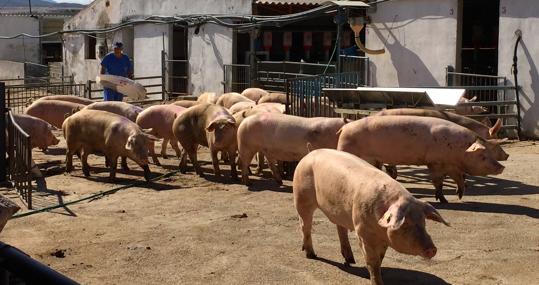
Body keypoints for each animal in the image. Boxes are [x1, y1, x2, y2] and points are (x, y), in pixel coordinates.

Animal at [338, 115, 506, 202]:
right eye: (482, 155)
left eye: (490, 152)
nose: (502, 167)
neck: (459, 149)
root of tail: (345, 127)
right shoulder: (435, 162)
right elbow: (438, 181)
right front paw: (443, 200)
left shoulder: (450, 164)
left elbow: (458, 178)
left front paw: (459, 195)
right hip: (347, 150)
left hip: (374, 160)